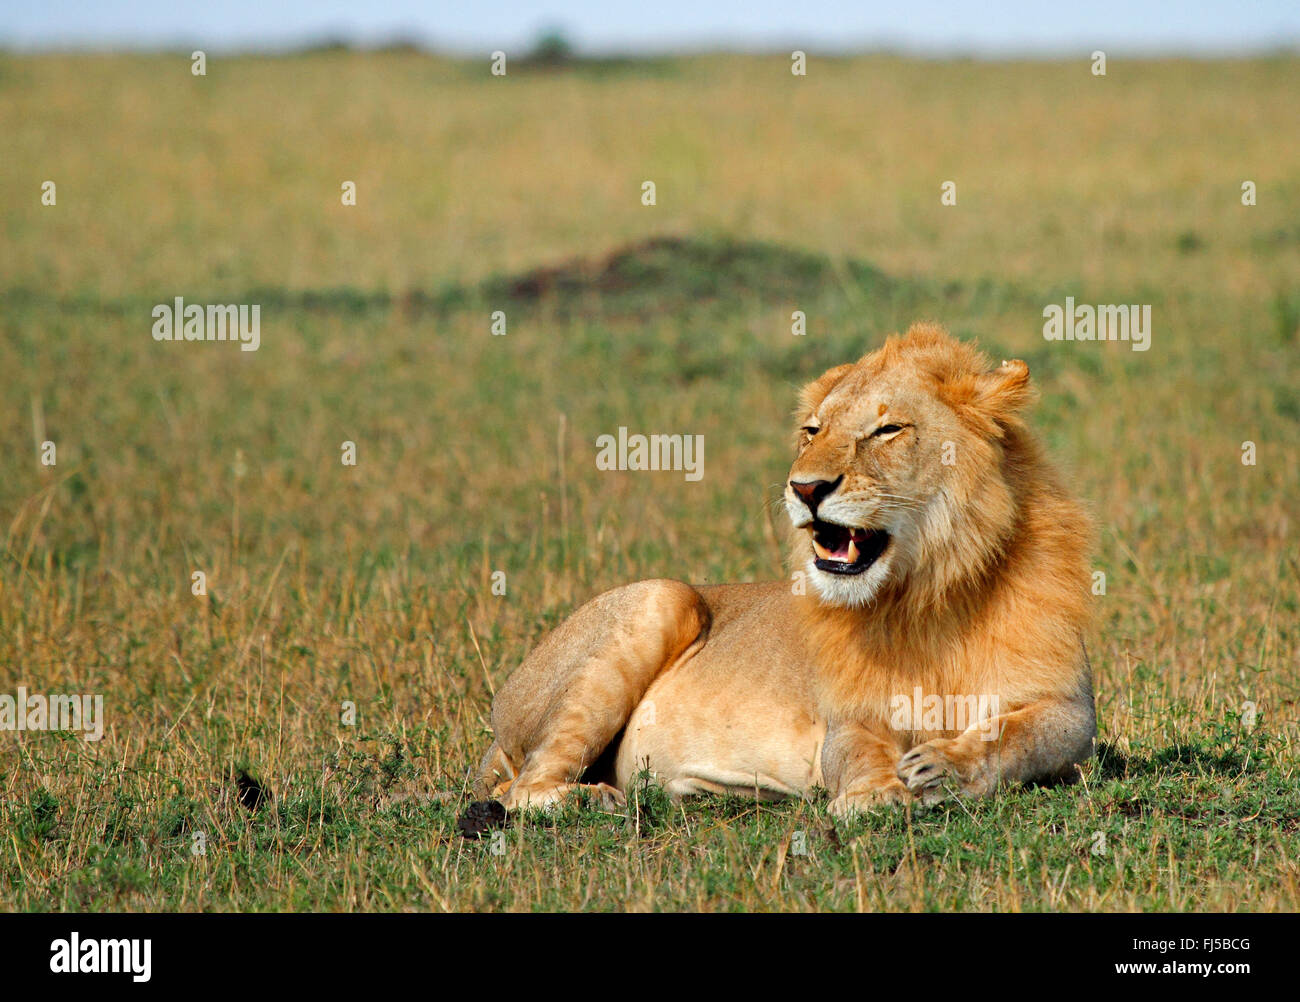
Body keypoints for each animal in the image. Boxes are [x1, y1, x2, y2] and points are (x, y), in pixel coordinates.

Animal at [466, 323, 1095, 823]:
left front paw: (943, 766)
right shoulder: (850, 715)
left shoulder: (1070, 709)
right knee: (519, 789)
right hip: (660, 598)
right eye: (813, 431)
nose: (805, 488)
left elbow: (1013, 736)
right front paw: (872, 796)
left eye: (887, 431)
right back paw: (594, 799)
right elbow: (858, 751)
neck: (927, 590)